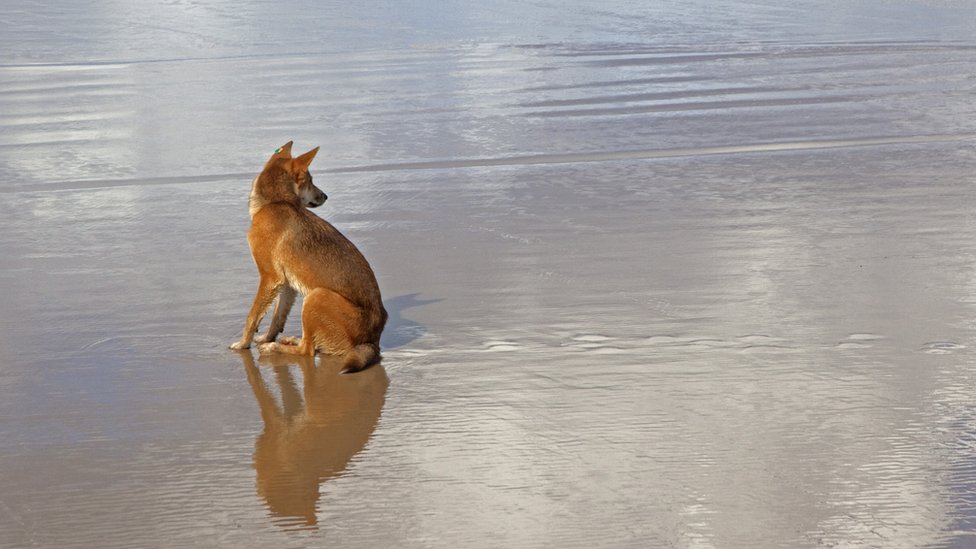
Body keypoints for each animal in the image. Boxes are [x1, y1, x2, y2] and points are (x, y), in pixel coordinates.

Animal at [231, 141, 386, 372]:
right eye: (311, 181)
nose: (325, 196)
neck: (276, 202)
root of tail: (373, 343)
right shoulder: (286, 284)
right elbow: (277, 317)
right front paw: (267, 337)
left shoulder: (269, 277)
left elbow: (253, 316)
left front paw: (243, 344)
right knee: (309, 342)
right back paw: (289, 340)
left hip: (316, 296)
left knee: (307, 351)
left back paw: (275, 348)